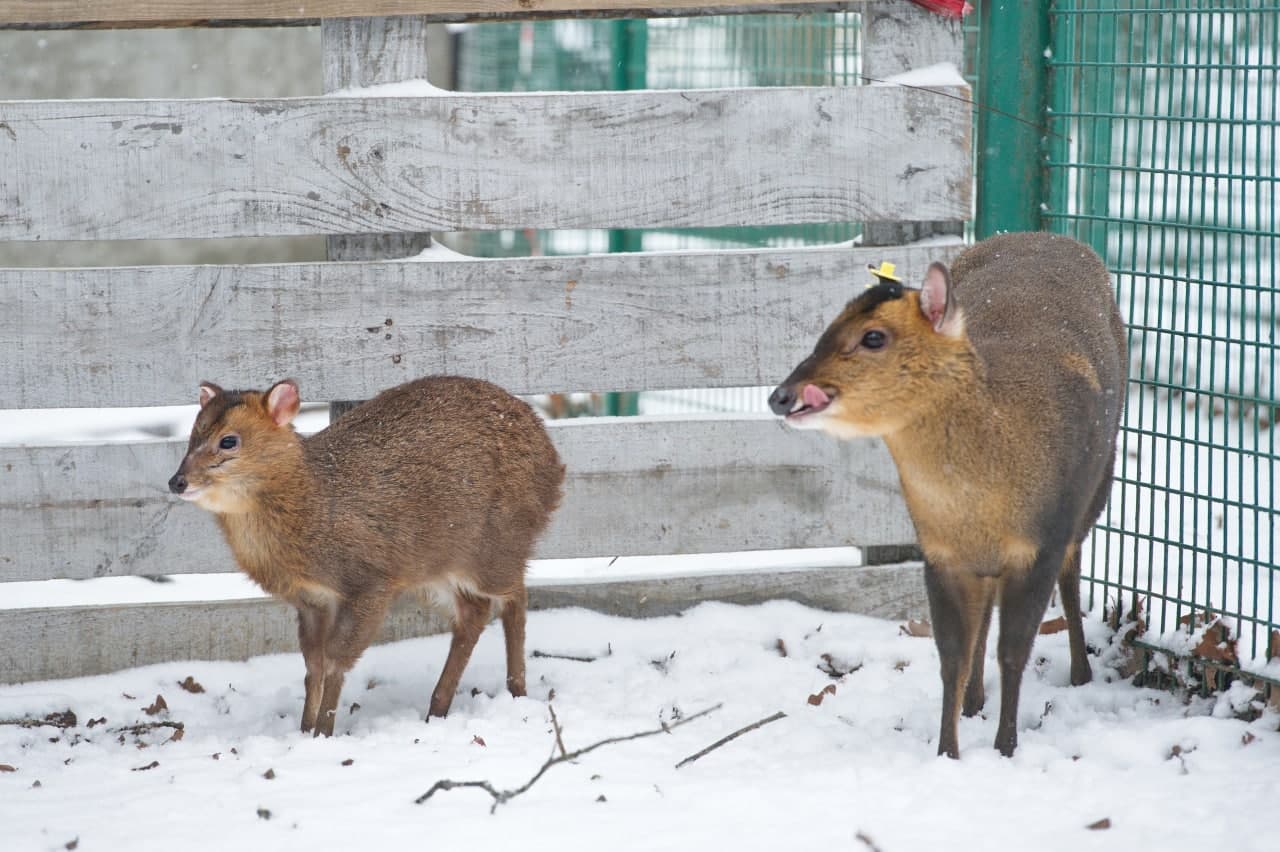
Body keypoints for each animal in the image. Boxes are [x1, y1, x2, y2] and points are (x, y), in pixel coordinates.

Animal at [167, 376, 563, 731]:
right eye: (193, 434)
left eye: (228, 440)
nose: (177, 481)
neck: (313, 507)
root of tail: (554, 461)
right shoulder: (311, 600)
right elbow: (313, 665)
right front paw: (304, 729)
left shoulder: (370, 581)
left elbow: (336, 661)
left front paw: (323, 732)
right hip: (432, 569)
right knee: (474, 613)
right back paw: (437, 708)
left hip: (496, 547)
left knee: (516, 598)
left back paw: (517, 690)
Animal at [762, 232, 1126, 757]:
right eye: (828, 326)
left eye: (874, 336)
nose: (781, 396)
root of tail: (1049, 235)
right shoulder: (940, 553)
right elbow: (952, 656)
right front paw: (948, 751)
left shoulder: (1041, 541)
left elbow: (1014, 651)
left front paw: (1005, 747)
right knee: (986, 614)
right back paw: (974, 701)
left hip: (1096, 488)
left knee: (1072, 575)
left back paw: (1080, 674)